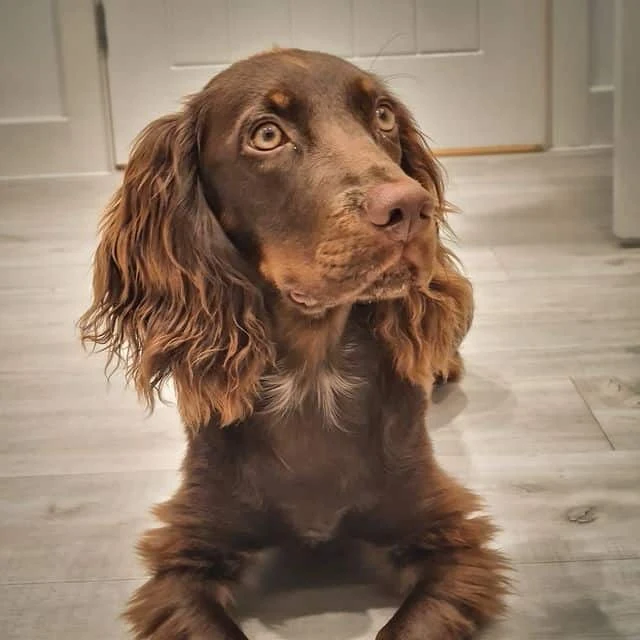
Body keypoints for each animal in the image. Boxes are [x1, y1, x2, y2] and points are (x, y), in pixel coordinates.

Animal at [81, 47, 510, 636]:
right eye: (266, 134)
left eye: (382, 116)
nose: (411, 207)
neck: (313, 371)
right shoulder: (182, 557)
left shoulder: (453, 539)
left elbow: (404, 625)